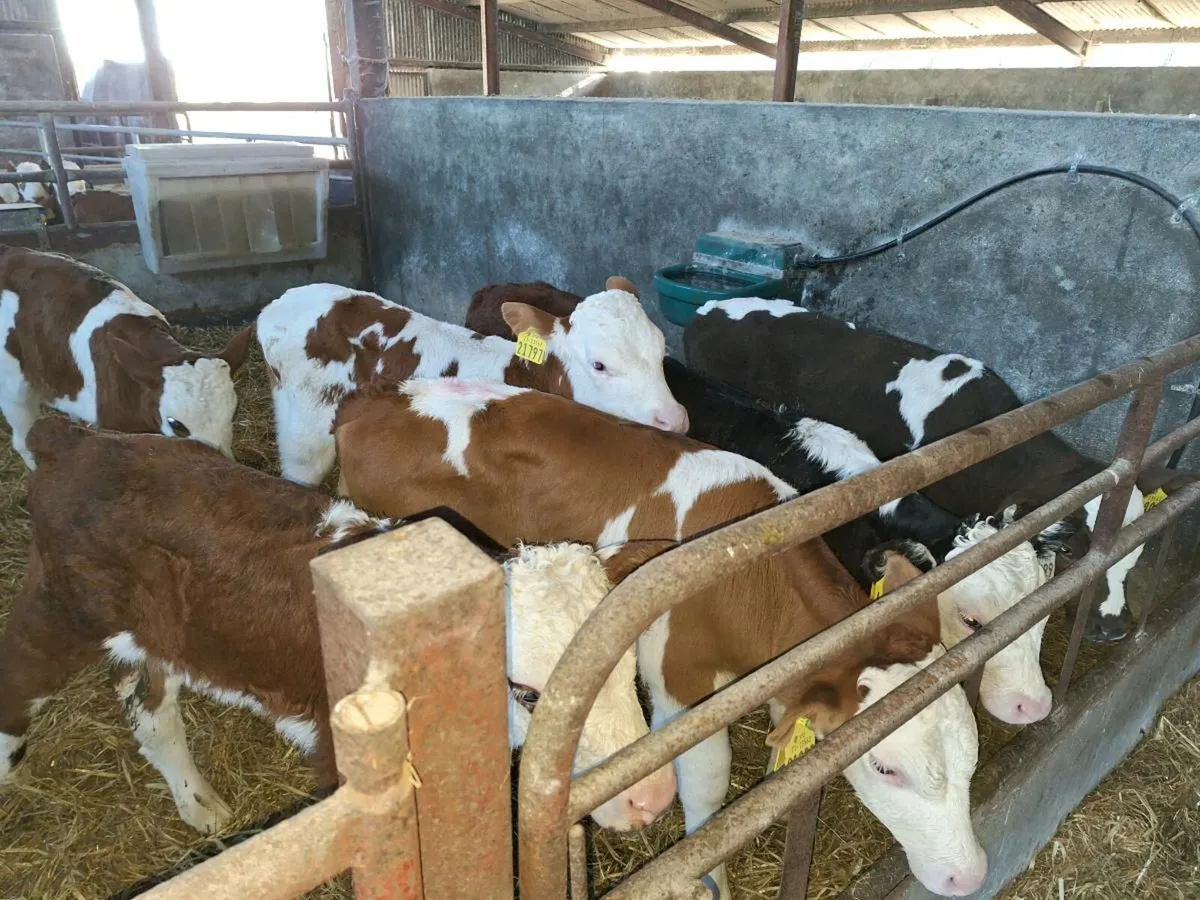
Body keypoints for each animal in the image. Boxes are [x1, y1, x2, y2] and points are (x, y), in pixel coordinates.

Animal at [0, 418, 676, 835]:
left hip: (159, 635)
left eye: (624, 669)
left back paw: (202, 807)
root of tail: (79, 441)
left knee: (151, 712)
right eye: (527, 694)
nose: (653, 798)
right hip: (58, 612)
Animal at [333, 380, 989, 897]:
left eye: (971, 754)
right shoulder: (680, 683)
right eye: (886, 768)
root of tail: (376, 397)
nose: (969, 876)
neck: (749, 563)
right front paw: (709, 879)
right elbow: (705, 782)